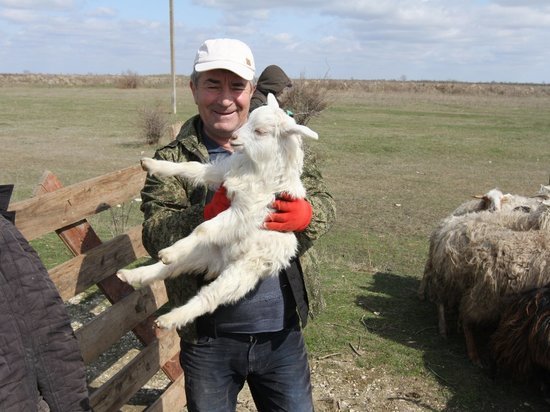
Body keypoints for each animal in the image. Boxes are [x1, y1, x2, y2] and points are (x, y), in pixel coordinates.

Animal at [118, 95, 322, 330]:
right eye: (248, 119)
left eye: (261, 131)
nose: (233, 137)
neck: (255, 167)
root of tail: (224, 260)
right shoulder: (222, 171)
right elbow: (192, 168)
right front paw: (153, 164)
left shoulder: (247, 210)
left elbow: (203, 228)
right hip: (204, 252)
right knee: (168, 269)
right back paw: (132, 274)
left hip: (242, 272)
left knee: (208, 297)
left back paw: (168, 313)